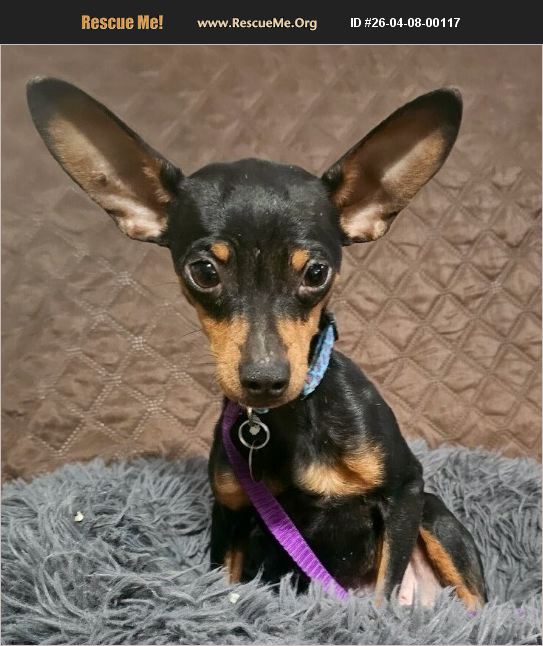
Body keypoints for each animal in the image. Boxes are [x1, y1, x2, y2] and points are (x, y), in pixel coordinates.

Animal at [27, 77, 487, 609]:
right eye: (204, 272)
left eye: (317, 273)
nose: (264, 380)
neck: (285, 421)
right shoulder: (231, 514)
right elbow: (224, 590)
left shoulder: (406, 490)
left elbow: (384, 592)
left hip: (435, 517)